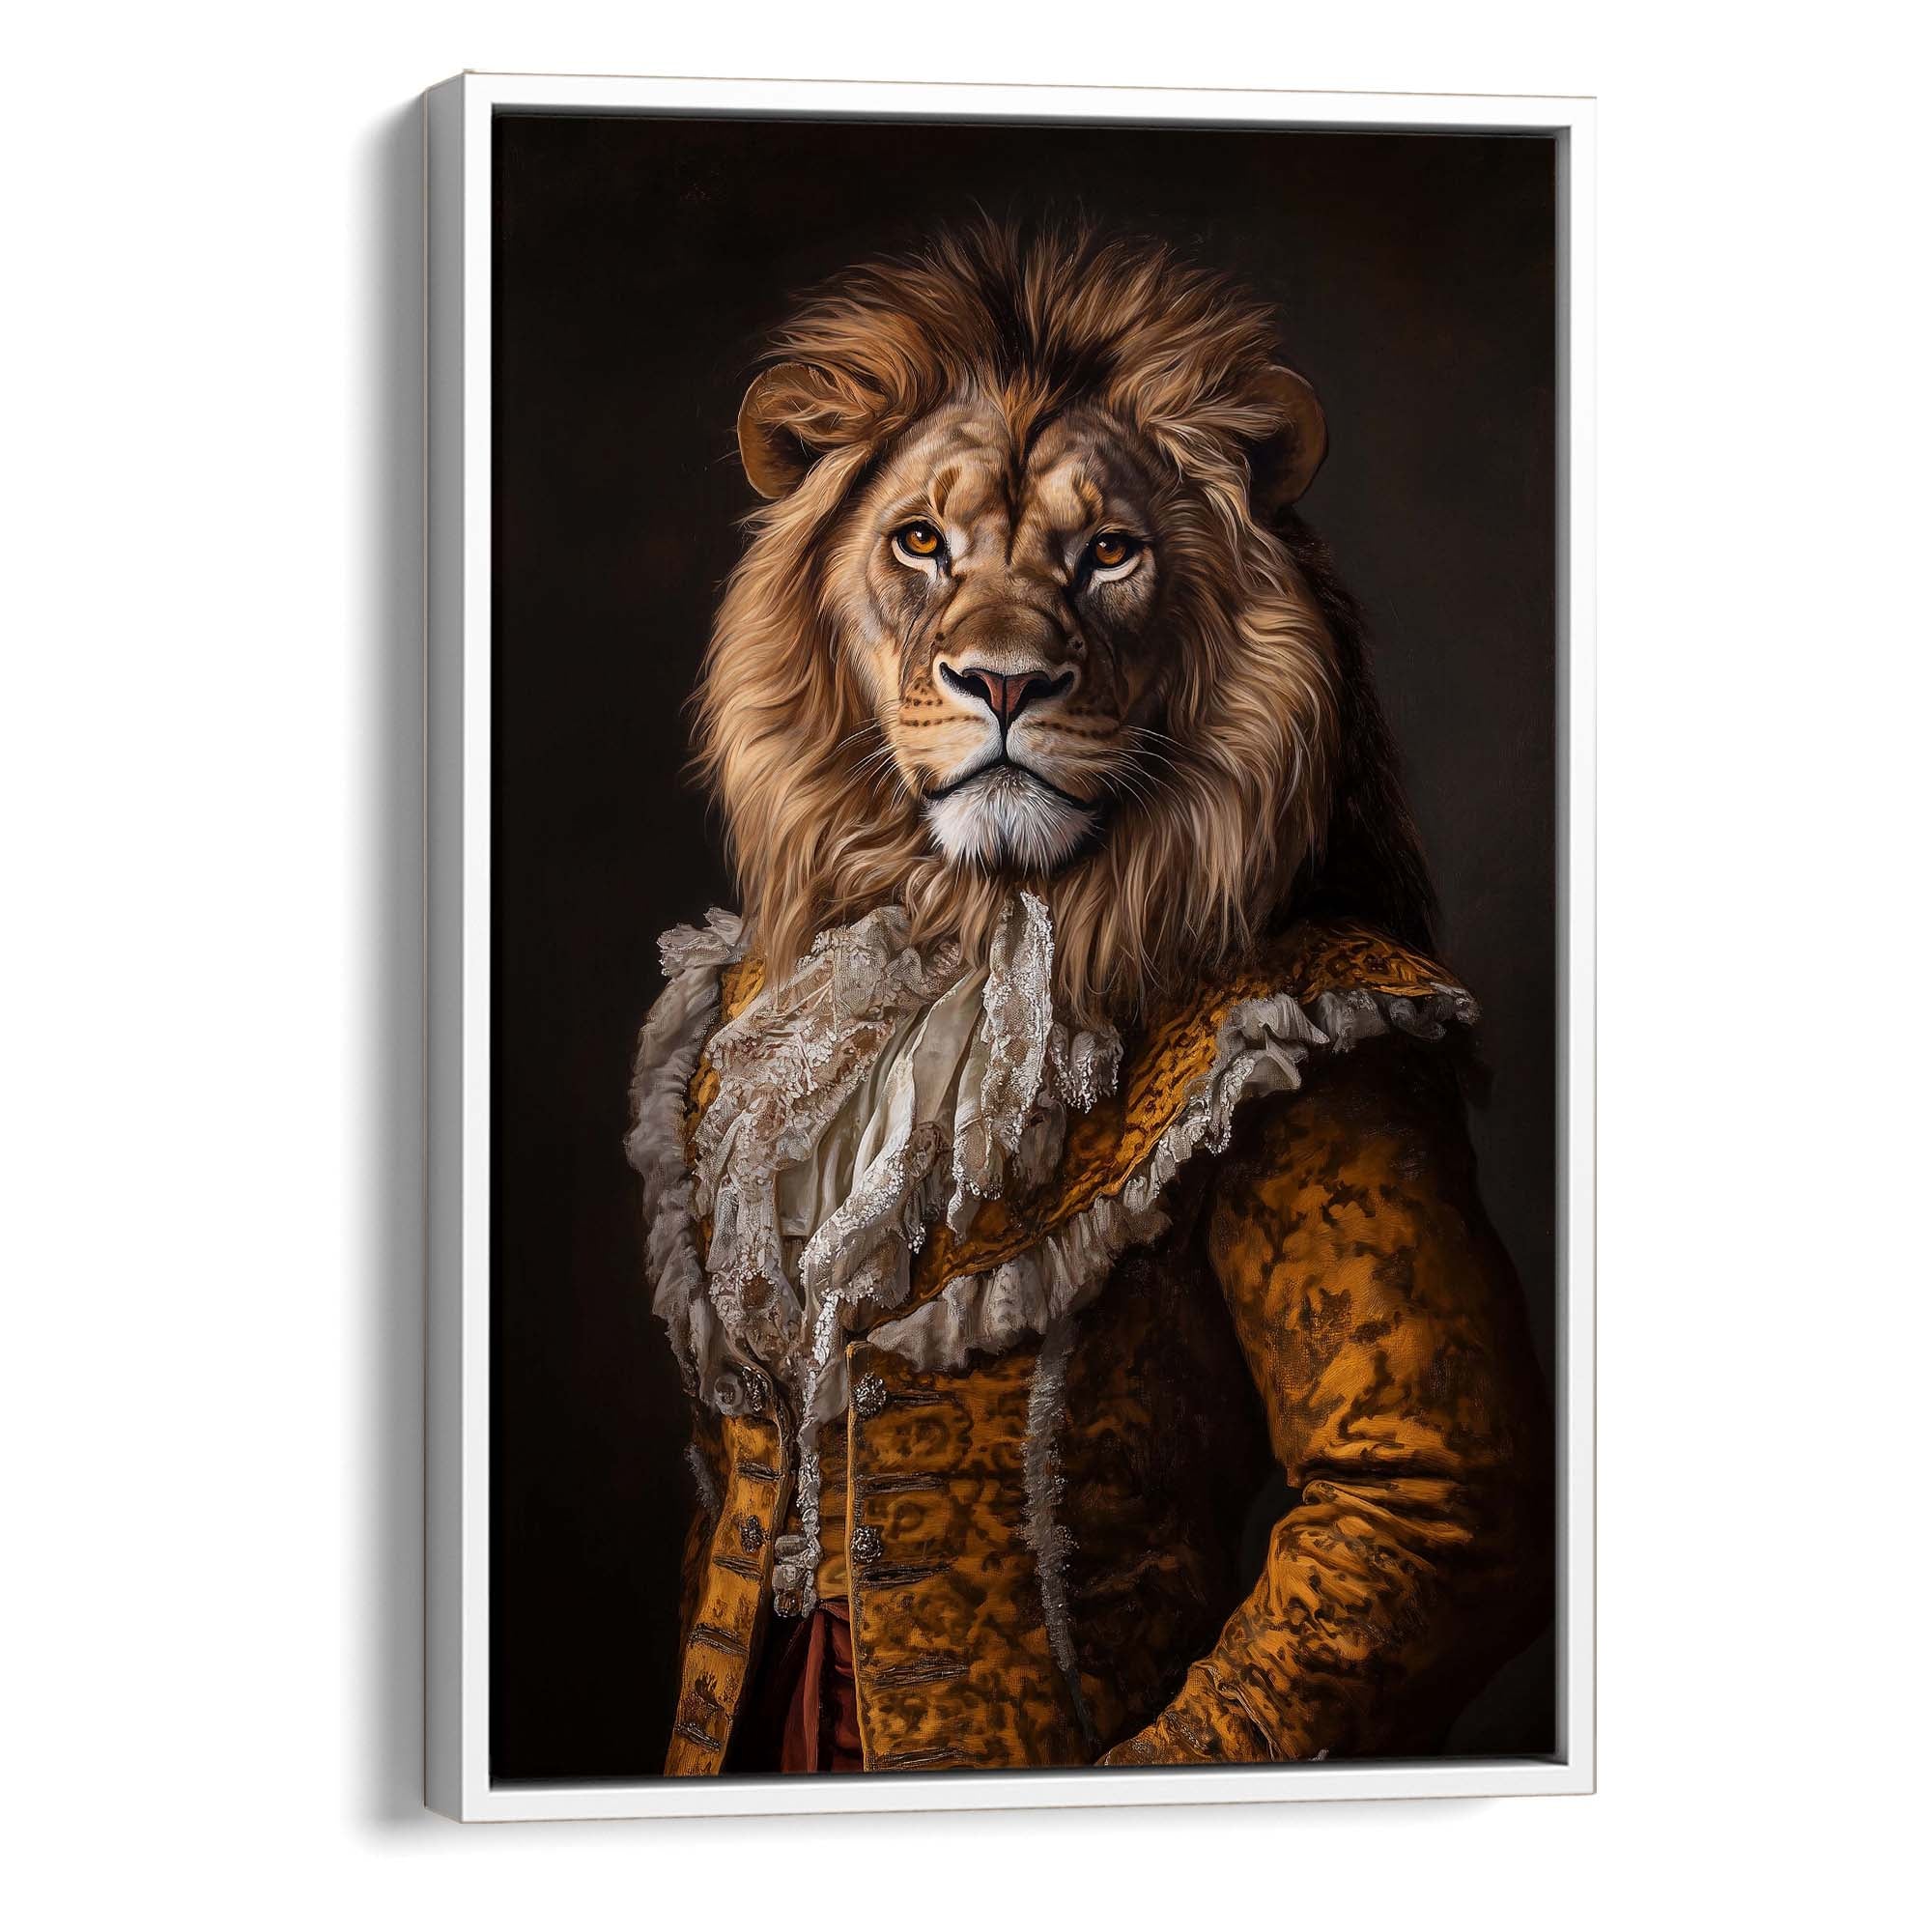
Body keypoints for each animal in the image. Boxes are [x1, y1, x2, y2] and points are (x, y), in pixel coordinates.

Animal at [635, 223, 1549, 1777]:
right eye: (920, 542)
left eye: (1108, 551)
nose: (1002, 681)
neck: (972, 920)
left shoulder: (1352, 1080)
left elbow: (1416, 1486)